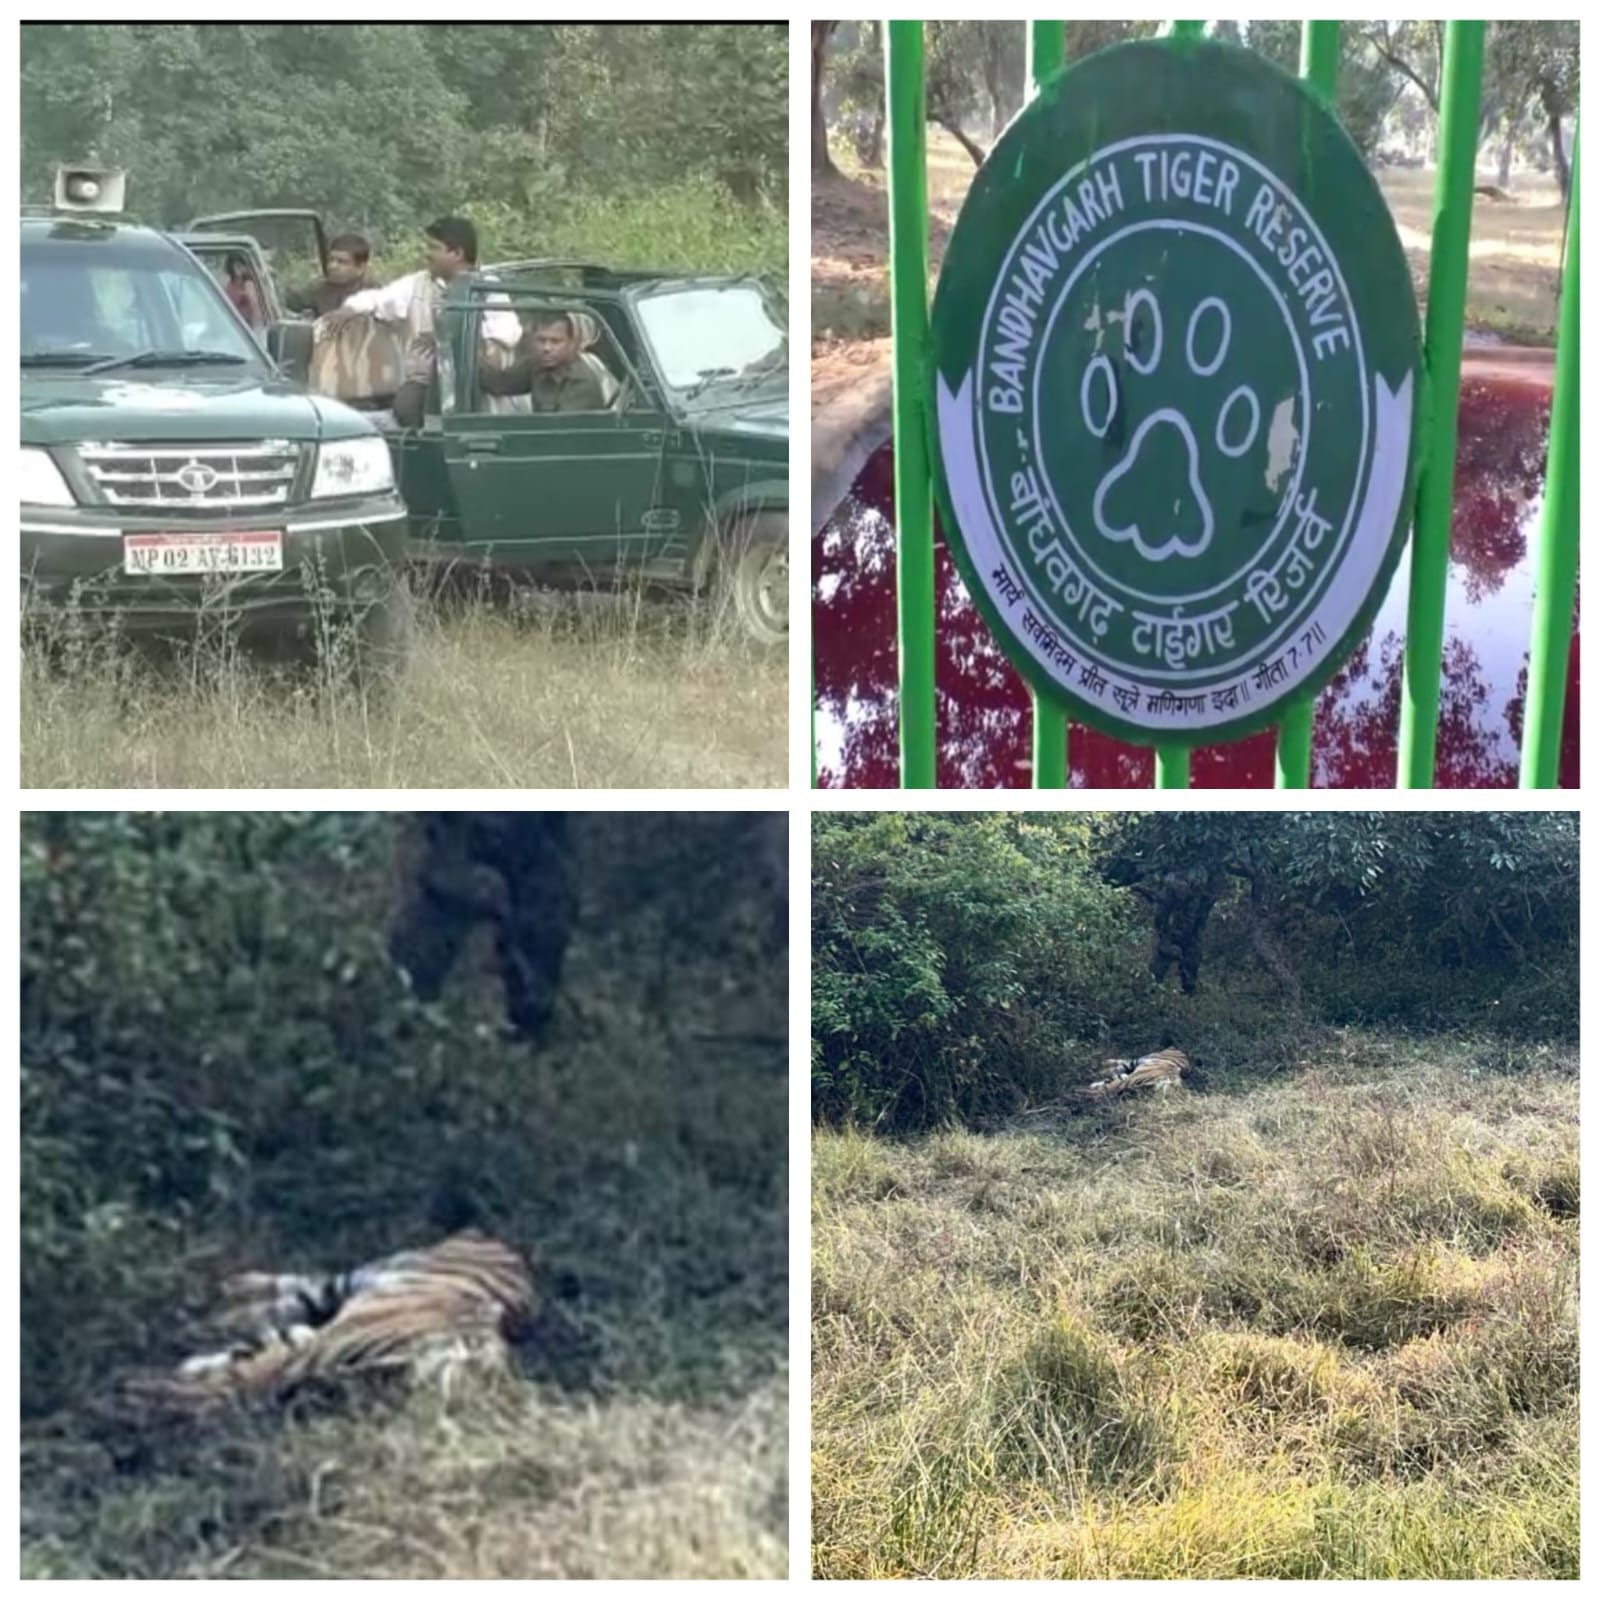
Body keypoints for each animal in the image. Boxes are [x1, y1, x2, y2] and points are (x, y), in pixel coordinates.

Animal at [124, 1231, 537, 1410]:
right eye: (481, 1368)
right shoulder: (306, 1353)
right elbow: (234, 1378)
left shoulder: (301, 1355)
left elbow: (238, 1370)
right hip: (356, 1279)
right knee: (304, 1282)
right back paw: (226, 1290)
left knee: (291, 1299)